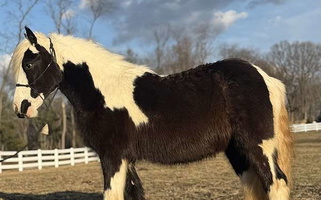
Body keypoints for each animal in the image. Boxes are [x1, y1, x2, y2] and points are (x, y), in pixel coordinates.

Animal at [10, 27, 292, 200]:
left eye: (30, 63)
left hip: (257, 147)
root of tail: (264, 76)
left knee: (276, 183)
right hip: (238, 152)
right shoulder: (126, 159)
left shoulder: (113, 157)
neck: (103, 91)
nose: (20, 108)